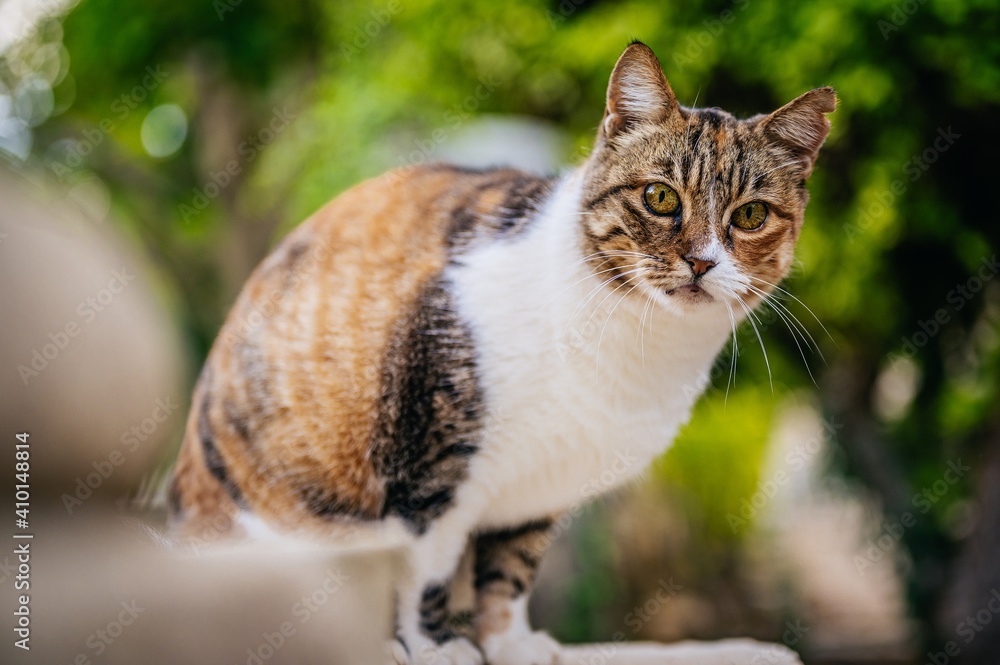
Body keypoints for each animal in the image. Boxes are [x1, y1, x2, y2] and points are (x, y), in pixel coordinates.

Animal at [168, 40, 832, 664]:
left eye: (751, 214)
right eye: (661, 197)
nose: (701, 262)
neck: (639, 344)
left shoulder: (539, 487)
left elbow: (512, 570)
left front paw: (511, 645)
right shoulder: (432, 464)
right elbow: (425, 569)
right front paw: (435, 646)